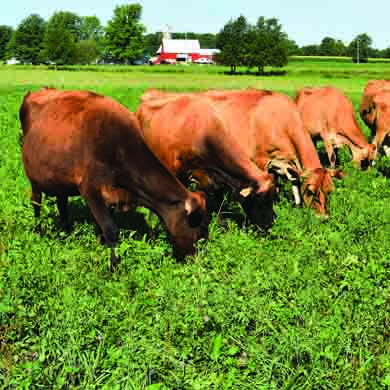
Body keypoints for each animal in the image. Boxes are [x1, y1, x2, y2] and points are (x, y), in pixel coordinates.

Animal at [19, 87, 209, 272]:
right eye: (197, 226)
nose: (197, 260)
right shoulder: (90, 189)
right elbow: (110, 230)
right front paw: (113, 268)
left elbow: (100, 229)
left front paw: (98, 249)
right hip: (34, 179)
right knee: (36, 203)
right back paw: (38, 232)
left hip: (61, 179)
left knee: (62, 205)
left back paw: (66, 233)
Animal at [140, 88, 342, 216]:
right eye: (311, 191)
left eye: (329, 191)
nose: (322, 217)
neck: (280, 120)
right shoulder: (261, 160)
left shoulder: (285, 162)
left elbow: (292, 181)